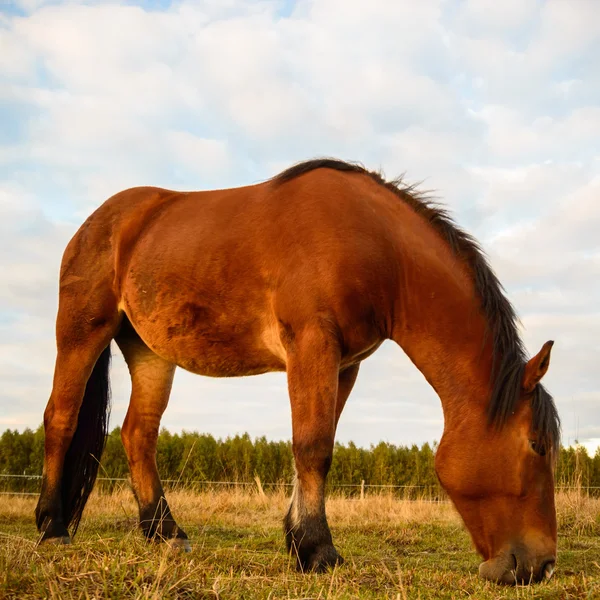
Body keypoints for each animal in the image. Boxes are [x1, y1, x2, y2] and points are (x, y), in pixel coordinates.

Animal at [34, 157, 556, 584]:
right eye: (536, 445)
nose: (543, 565)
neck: (380, 248)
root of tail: (99, 221)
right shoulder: (311, 344)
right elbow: (312, 446)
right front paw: (317, 550)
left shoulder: (344, 364)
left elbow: (318, 444)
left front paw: (299, 539)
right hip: (82, 331)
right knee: (60, 418)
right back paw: (53, 526)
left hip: (149, 352)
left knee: (138, 434)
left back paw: (165, 532)